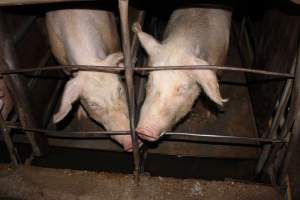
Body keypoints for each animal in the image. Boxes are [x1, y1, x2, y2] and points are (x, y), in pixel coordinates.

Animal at [45, 8, 138, 151]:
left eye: (120, 89)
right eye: (92, 105)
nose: (130, 143)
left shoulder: (112, 36)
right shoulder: (62, 61)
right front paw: (81, 115)